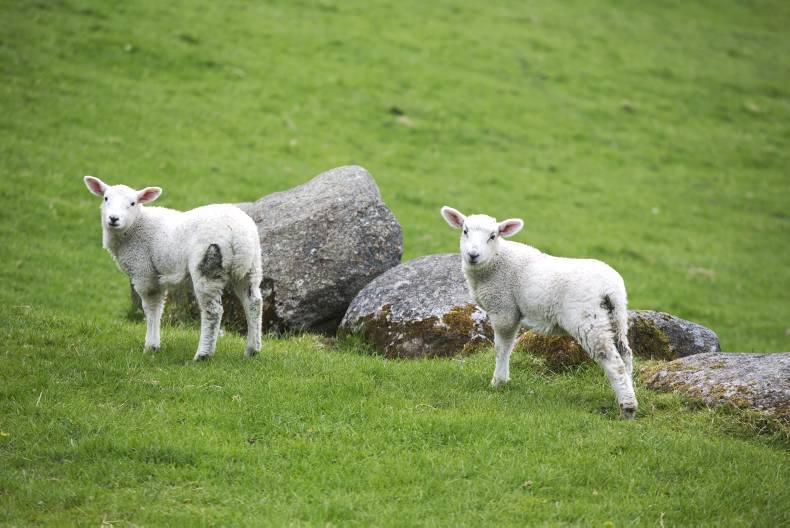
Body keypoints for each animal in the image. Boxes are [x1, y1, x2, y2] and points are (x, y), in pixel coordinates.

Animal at [83, 176, 263, 361]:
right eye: (106, 198)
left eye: (132, 203)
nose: (113, 219)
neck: (136, 227)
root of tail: (239, 235)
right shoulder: (157, 276)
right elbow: (159, 308)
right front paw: (154, 345)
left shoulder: (144, 273)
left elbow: (151, 308)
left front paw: (150, 346)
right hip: (251, 267)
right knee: (254, 304)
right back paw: (252, 350)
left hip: (208, 263)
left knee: (213, 311)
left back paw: (203, 354)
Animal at [440, 206, 638, 419]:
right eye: (465, 231)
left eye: (493, 236)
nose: (473, 255)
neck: (496, 261)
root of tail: (611, 288)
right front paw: (503, 380)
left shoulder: (504, 310)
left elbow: (502, 348)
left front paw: (498, 382)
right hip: (617, 317)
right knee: (626, 355)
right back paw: (626, 394)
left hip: (588, 319)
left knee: (612, 361)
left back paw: (628, 408)